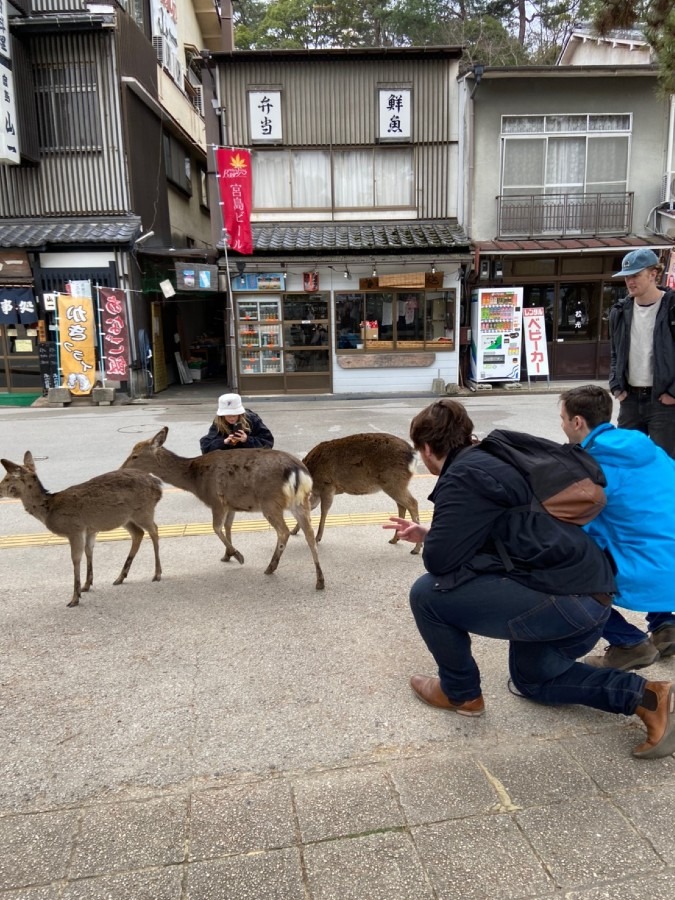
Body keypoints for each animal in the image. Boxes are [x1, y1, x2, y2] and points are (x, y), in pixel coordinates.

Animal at [0, 454, 164, 608]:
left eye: (7, 478)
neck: (49, 510)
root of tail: (158, 487)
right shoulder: (89, 529)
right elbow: (88, 551)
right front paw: (86, 585)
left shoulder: (75, 529)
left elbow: (75, 558)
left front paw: (74, 598)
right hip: (125, 518)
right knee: (138, 533)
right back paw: (120, 577)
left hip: (143, 510)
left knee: (154, 530)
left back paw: (157, 574)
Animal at [122, 428, 328, 592]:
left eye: (135, 456)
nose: (122, 468)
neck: (195, 480)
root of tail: (298, 471)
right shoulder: (231, 504)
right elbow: (228, 526)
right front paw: (227, 555)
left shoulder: (216, 500)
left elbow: (216, 528)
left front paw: (237, 555)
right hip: (300, 501)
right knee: (309, 534)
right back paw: (319, 580)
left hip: (270, 501)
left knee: (283, 532)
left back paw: (271, 567)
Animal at [294, 430, 426, 552]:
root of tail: (413, 457)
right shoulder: (316, 492)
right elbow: (309, 507)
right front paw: (294, 531)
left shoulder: (328, 485)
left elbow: (324, 510)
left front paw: (317, 538)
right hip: (396, 484)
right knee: (402, 505)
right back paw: (395, 539)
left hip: (394, 482)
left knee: (412, 503)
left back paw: (416, 548)